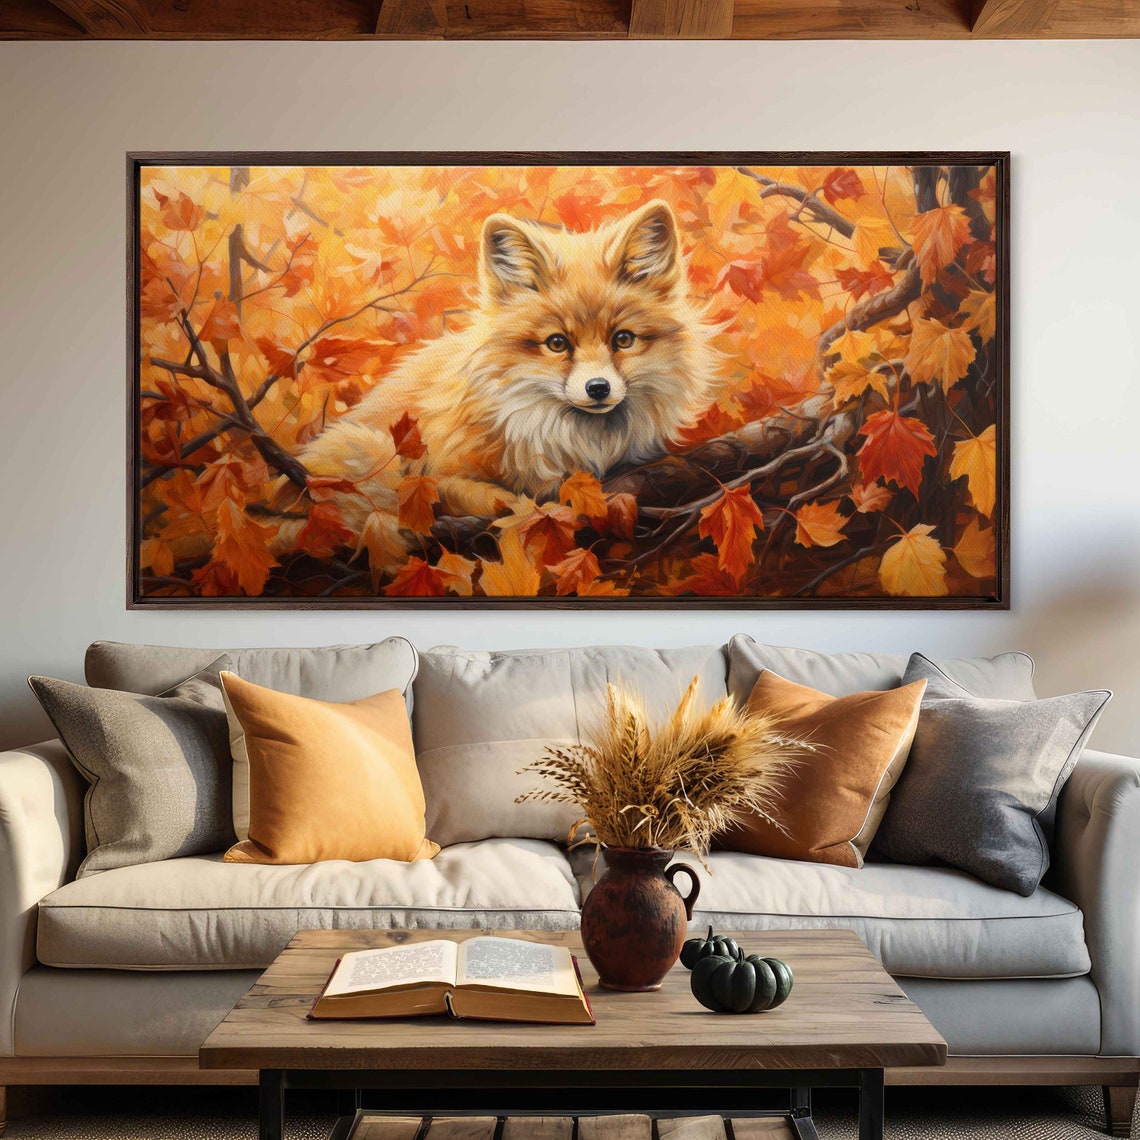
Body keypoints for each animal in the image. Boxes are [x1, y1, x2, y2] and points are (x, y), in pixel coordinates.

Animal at [287, 198, 719, 573]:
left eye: (623, 340)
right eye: (557, 343)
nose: (598, 389)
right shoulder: (433, 474)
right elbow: (497, 499)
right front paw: (528, 510)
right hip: (371, 446)